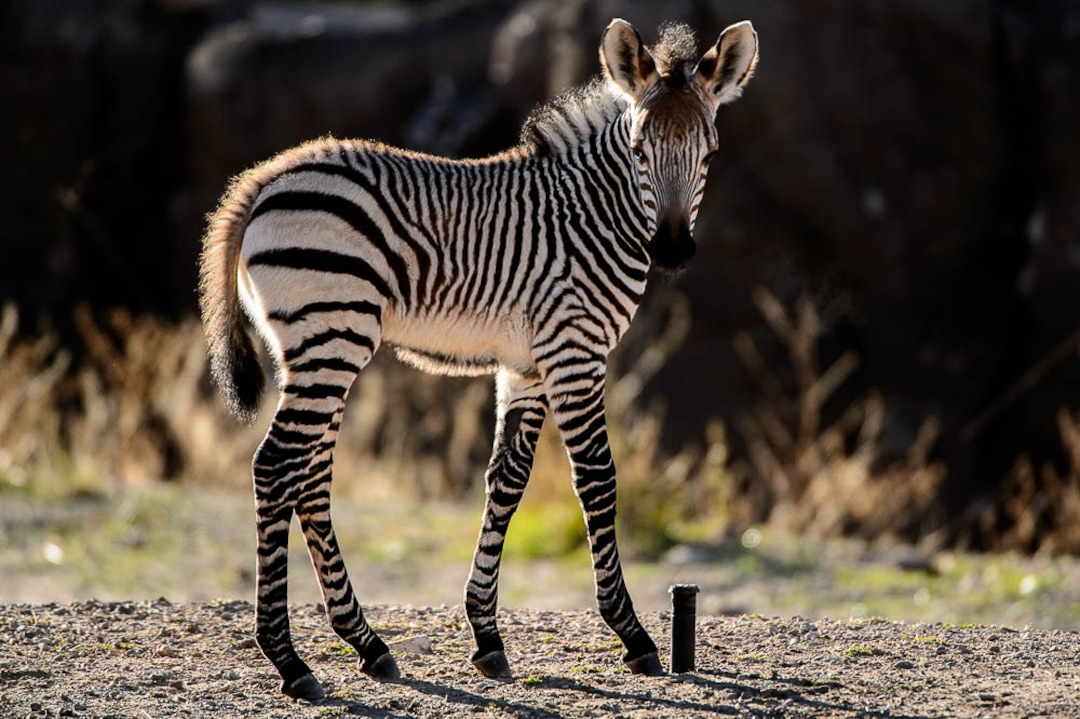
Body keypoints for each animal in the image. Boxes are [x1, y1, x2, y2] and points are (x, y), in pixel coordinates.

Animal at [199, 17, 757, 701]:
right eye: (638, 151)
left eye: (708, 153)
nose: (673, 251)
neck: (593, 216)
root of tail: (265, 178)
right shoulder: (574, 351)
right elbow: (597, 480)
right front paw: (632, 635)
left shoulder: (526, 365)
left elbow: (507, 480)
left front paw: (487, 636)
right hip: (333, 334)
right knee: (278, 466)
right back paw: (289, 661)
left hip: (308, 347)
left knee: (309, 476)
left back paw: (366, 644)